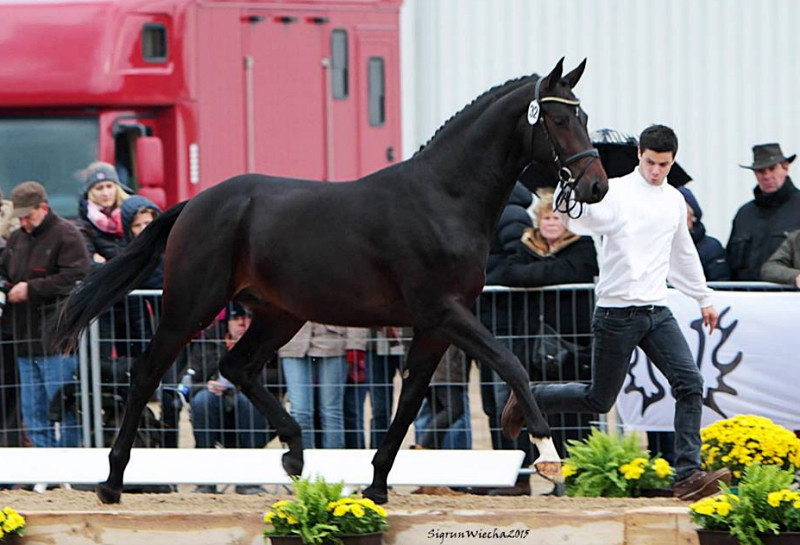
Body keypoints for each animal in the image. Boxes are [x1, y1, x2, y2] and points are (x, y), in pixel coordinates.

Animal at [51, 57, 608, 504]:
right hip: (191, 305)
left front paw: (376, 487)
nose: (596, 185)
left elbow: (409, 402)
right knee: (146, 373)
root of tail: (195, 203)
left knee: (236, 366)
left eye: (583, 117)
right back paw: (111, 483)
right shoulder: (445, 311)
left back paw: (295, 454)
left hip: (278, 314)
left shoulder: (433, 326)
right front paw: (547, 454)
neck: (443, 199)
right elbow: (511, 364)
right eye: (559, 119)